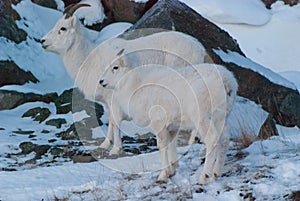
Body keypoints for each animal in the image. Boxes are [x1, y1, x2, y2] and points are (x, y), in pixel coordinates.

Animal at [41, 3, 207, 154]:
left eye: (62, 28)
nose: (42, 41)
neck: (88, 59)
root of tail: (199, 48)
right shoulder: (108, 102)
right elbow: (110, 121)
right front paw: (105, 145)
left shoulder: (114, 99)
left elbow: (115, 121)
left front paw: (116, 149)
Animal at [99, 59, 238, 184]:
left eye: (115, 67)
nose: (101, 81)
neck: (135, 85)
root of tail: (226, 81)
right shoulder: (172, 127)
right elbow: (172, 144)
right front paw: (172, 170)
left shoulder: (159, 123)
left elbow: (162, 146)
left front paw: (163, 175)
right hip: (221, 118)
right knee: (224, 140)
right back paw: (215, 174)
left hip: (203, 118)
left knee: (212, 139)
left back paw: (204, 178)